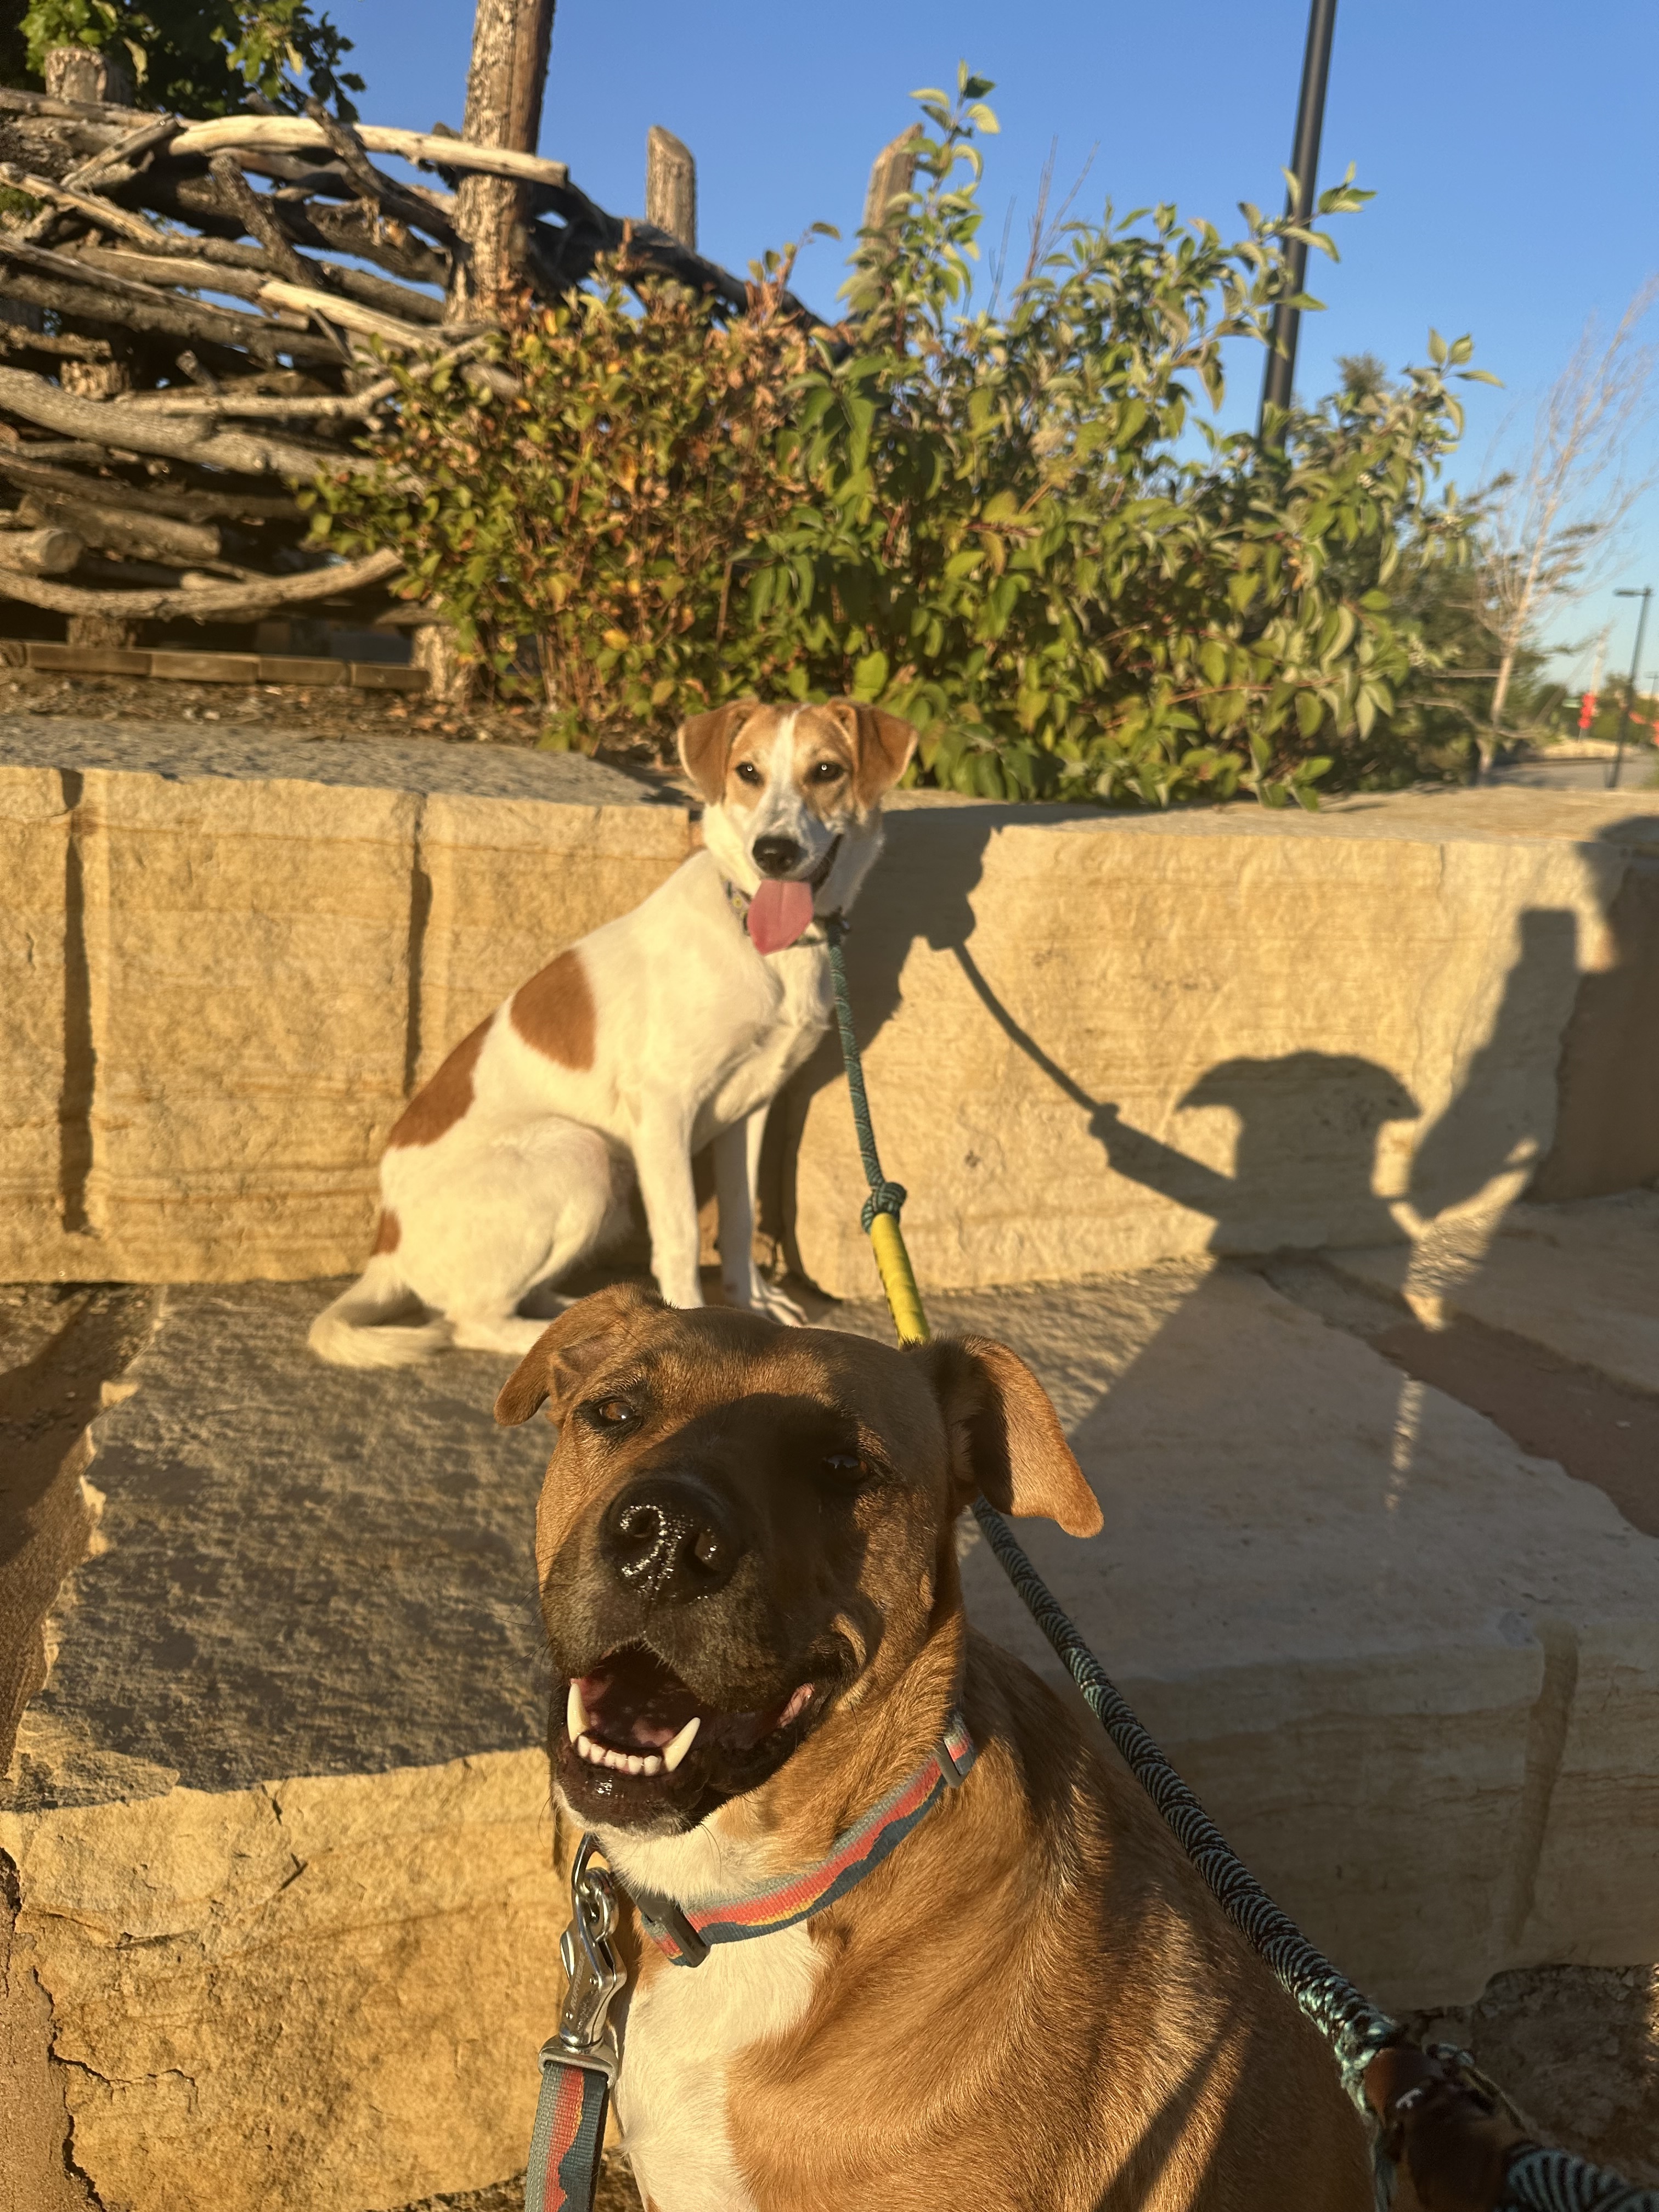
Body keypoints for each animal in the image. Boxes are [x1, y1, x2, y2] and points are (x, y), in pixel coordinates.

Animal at [305, 703, 916, 1362]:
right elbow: (680, 1236)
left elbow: (740, 1217)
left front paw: (750, 1300)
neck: (760, 939)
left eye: (826, 770)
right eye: (747, 772)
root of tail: (386, 1243)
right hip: (581, 1154)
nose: (773, 852)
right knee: (473, 1321)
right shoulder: (664, 1107)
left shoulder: (751, 1107)